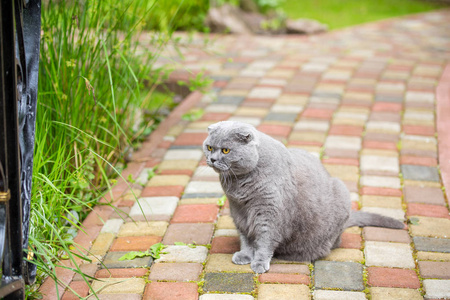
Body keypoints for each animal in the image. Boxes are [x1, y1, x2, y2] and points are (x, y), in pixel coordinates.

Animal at [203, 120, 404, 274]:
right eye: (209, 147)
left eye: (226, 150)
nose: (212, 159)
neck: (240, 185)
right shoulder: (239, 211)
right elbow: (246, 238)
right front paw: (245, 255)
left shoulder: (270, 213)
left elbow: (265, 239)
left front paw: (259, 263)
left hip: (342, 192)